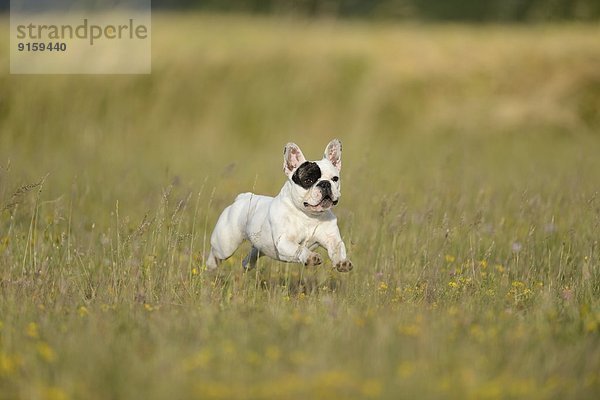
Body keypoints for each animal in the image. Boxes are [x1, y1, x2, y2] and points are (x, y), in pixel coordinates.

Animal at [206, 139, 352, 274]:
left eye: (335, 179)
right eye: (308, 180)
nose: (325, 184)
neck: (309, 216)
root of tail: (242, 197)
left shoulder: (332, 239)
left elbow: (338, 249)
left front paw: (342, 263)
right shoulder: (285, 241)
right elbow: (299, 248)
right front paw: (310, 257)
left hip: (260, 245)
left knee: (253, 253)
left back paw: (248, 263)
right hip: (225, 245)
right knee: (216, 253)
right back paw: (210, 267)